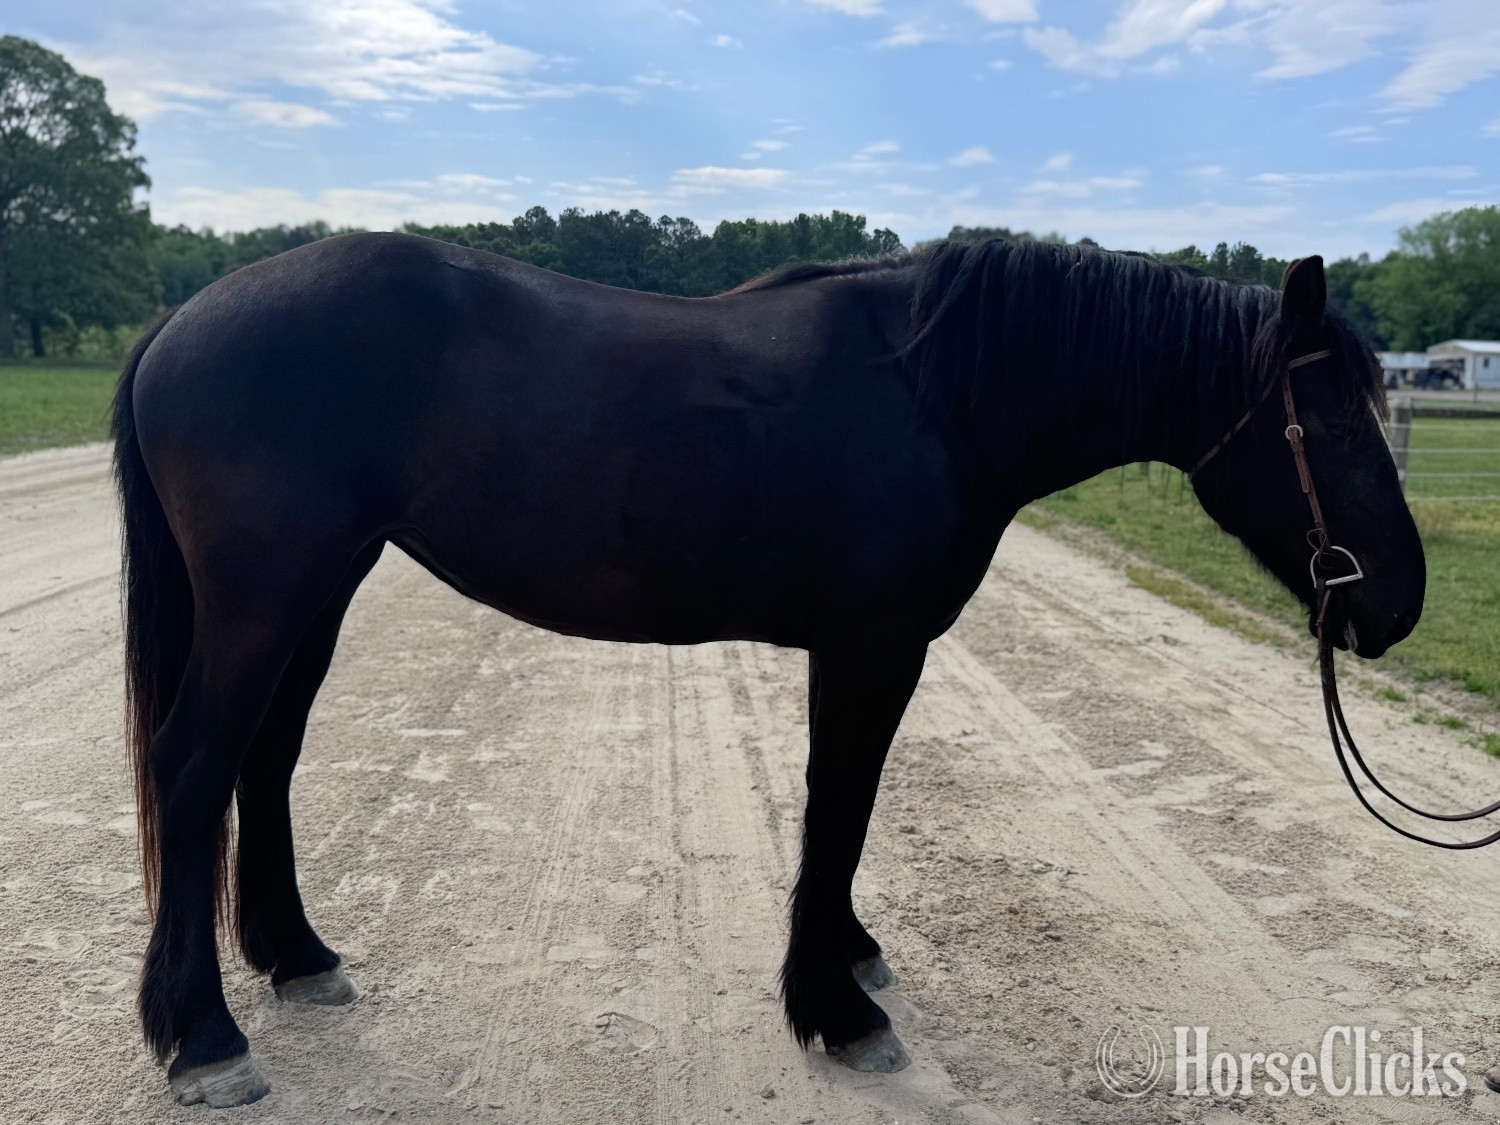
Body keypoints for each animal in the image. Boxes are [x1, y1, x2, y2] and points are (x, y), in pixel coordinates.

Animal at [111, 233, 1423, 1106]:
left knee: (264, 760)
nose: (1400, 602)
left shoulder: (863, 651)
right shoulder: (872, 646)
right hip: (268, 597)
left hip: (317, 592)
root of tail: (181, 322)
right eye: (1331, 424)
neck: (935, 394)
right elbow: (838, 806)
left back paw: (296, 958)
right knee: (194, 769)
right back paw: (206, 1041)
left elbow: (846, 811)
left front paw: (845, 958)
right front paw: (837, 1013)